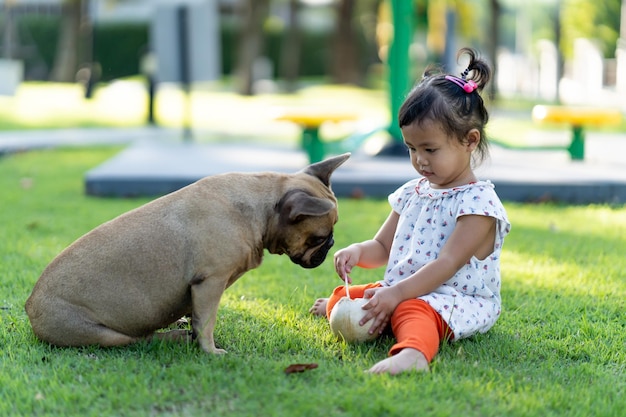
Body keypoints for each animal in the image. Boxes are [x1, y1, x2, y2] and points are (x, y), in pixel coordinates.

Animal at [26, 152, 348, 352]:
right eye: (319, 238)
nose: (332, 244)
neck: (261, 209)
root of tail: (30, 306)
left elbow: (198, 317)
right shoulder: (210, 282)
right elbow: (206, 322)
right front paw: (210, 351)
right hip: (104, 335)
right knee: (139, 340)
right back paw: (174, 337)